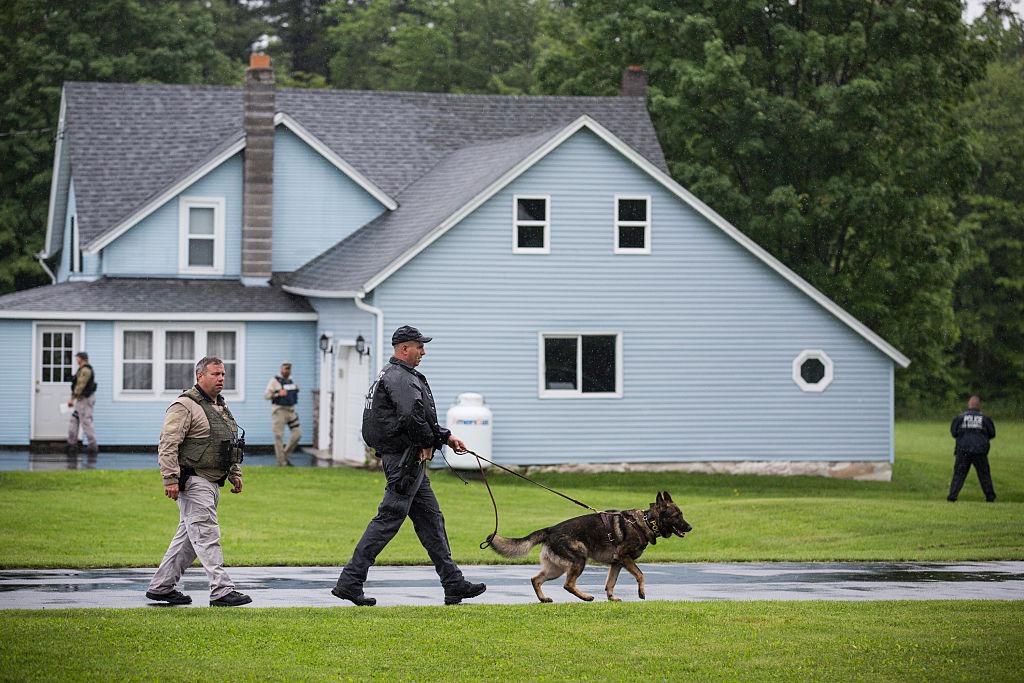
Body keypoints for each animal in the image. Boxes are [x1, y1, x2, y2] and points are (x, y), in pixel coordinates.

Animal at [489, 491, 696, 602]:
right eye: (676, 516)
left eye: (681, 514)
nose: (690, 527)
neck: (646, 521)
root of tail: (550, 530)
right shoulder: (625, 558)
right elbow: (640, 574)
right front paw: (641, 592)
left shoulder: (617, 563)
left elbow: (610, 583)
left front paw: (612, 598)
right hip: (579, 560)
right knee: (567, 584)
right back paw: (586, 597)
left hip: (556, 568)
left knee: (535, 579)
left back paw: (544, 599)